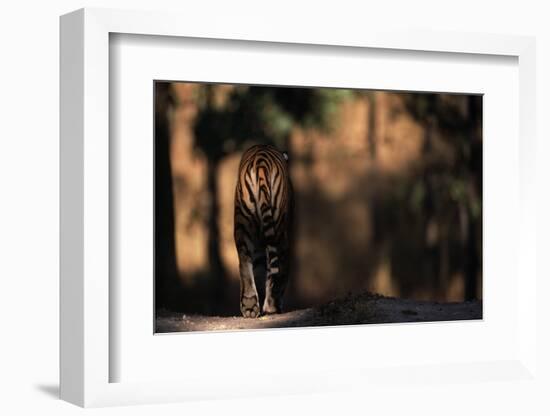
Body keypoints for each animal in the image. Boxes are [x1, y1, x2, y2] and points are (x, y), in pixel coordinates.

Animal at [233, 145, 294, 316]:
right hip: (278, 228)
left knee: (244, 259)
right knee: (277, 267)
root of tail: (261, 162)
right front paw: (273, 304)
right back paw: (271, 305)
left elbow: (260, 271)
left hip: (243, 222)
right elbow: (282, 272)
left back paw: (249, 305)